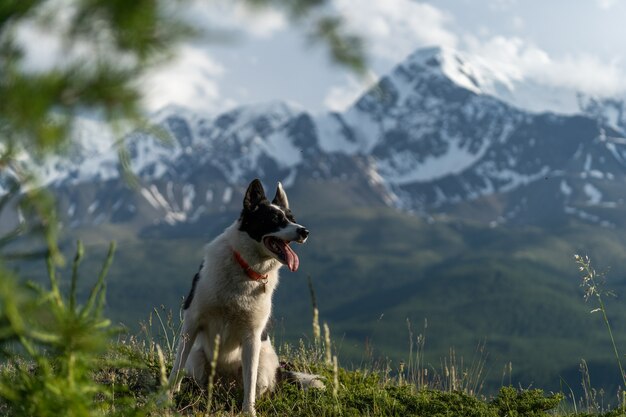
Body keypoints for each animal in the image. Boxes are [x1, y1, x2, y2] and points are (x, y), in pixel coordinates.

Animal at [168, 178, 312, 412]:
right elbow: (175, 368)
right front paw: (164, 399)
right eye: (275, 219)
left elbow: (249, 382)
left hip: (263, 364)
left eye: (293, 219)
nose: (304, 231)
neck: (246, 270)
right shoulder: (192, 322)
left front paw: (248, 411)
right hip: (198, 359)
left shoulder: (252, 337)